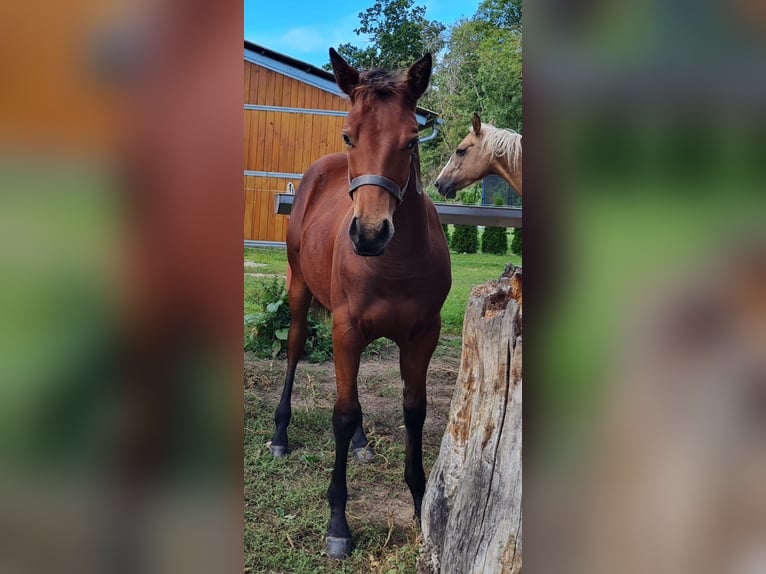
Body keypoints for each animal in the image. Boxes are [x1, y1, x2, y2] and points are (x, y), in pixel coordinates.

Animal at [270, 47, 452, 560]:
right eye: (349, 134)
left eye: (411, 141)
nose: (370, 234)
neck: (394, 265)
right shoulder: (346, 330)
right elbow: (343, 411)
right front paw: (338, 524)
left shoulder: (422, 336)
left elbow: (415, 409)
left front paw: (419, 500)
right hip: (299, 293)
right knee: (294, 348)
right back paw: (280, 434)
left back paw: (362, 443)